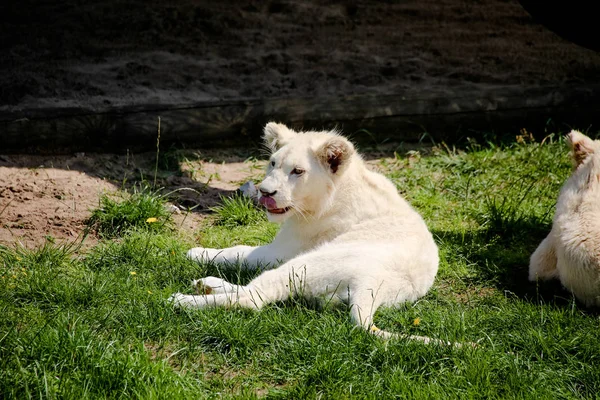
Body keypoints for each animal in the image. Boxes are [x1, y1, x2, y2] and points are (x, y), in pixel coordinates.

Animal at [168, 122, 446, 344]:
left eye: (298, 171)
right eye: (273, 163)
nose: (265, 192)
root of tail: (374, 283)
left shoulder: (282, 249)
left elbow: (240, 251)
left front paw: (196, 252)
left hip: (309, 262)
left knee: (254, 297)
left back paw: (183, 300)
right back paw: (207, 284)